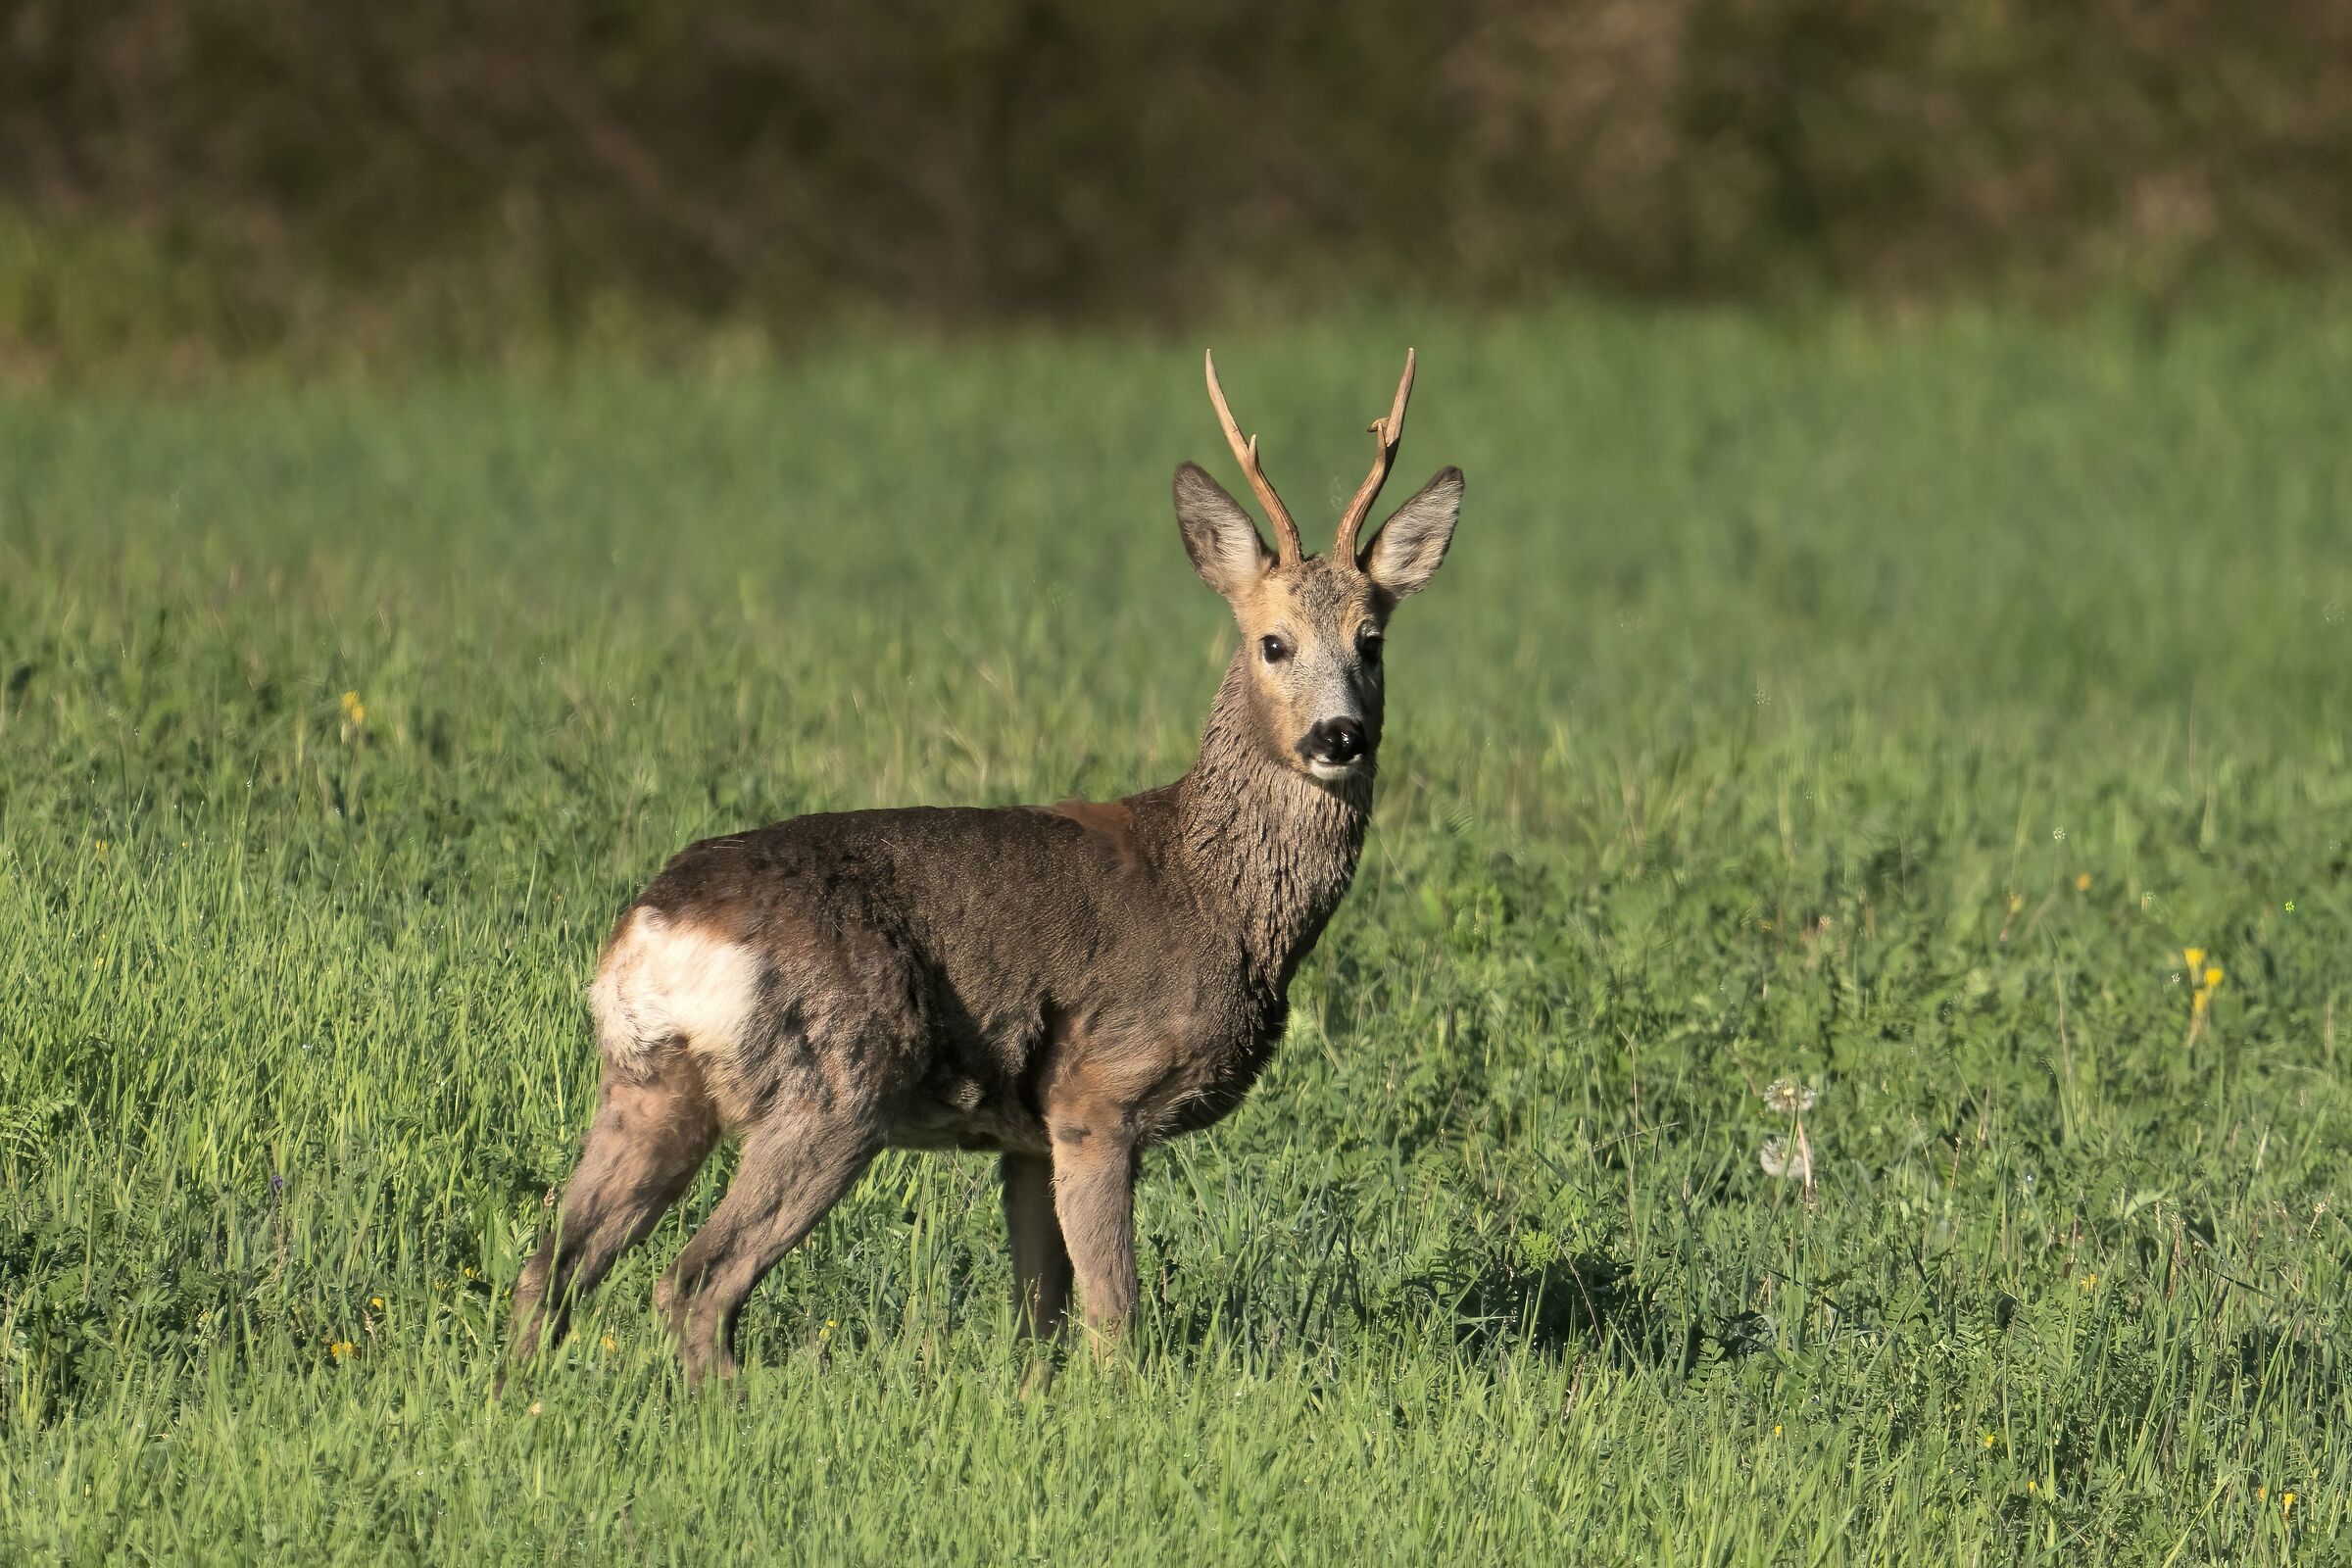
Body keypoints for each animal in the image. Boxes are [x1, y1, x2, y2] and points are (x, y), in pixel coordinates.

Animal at [505, 350, 1463, 1384]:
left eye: (1373, 642)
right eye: (1272, 642)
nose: (1339, 735)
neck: (1214, 895)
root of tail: (652, 932)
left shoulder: (1026, 1140)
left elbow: (1040, 1320)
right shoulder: (1094, 1095)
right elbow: (1113, 1324)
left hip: (650, 1088)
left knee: (550, 1267)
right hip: (832, 1089)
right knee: (693, 1283)